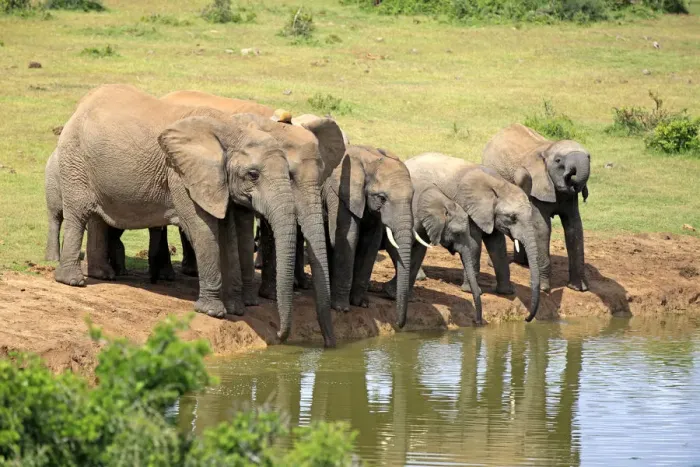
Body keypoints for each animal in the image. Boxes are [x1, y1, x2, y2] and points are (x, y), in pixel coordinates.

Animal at [51, 84, 298, 341]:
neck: (230, 130)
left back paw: (102, 275)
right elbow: (203, 230)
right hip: (75, 159)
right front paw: (212, 312)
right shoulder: (181, 175)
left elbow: (226, 234)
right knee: (78, 214)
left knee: (98, 218)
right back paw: (72, 281)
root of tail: (81, 105)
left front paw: (235, 310)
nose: (280, 334)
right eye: (253, 175)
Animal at [322, 145, 415, 328]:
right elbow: (347, 237)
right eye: (382, 198)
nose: (398, 324)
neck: (370, 160)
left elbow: (371, 243)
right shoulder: (341, 192)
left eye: (412, 197)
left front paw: (361, 304)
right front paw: (341, 308)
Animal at [381, 182, 484, 324]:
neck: (443, 202)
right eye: (457, 234)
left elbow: (419, 252)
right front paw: (391, 293)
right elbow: (394, 246)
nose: (477, 322)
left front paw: (407, 297)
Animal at [405, 153, 541, 322]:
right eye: (512, 217)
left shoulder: (490, 214)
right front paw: (470, 291)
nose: (527, 319)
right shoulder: (469, 206)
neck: (499, 186)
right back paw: (420, 278)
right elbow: (474, 244)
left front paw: (507, 292)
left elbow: (498, 246)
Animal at [482, 124, 590, 292]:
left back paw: (524, 262)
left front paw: (579, 288)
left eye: (589, 157)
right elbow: (542, 229)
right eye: (558, 161)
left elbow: (574, 228)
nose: (572, 176)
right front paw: (544, 289)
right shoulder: (536, 190)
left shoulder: (569, 198)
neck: (548, 148)